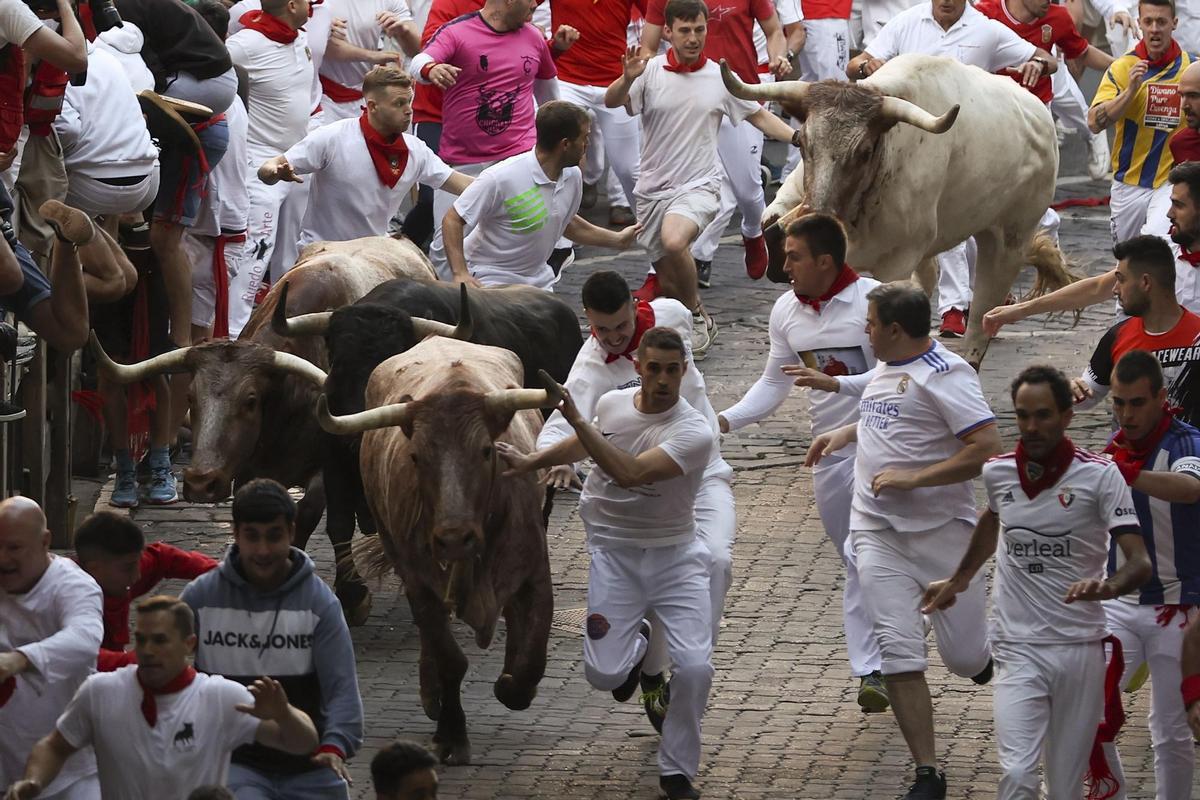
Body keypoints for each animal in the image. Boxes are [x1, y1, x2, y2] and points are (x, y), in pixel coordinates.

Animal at [319, 335, 561, 762]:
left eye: (486, 450)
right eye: (416, 455)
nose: (453, 537)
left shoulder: (535, 571)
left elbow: (532, 656)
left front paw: (512, 683)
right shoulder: (420, 582)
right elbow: (450, 658)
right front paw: (451, 732)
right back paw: (431, 695)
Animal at [734, 54, 1084, 367]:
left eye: (864, 152)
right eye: (800, 141)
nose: (815, 218)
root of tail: (1039, 115)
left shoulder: (896, 263)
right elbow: (770, 222)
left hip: (1008, 242)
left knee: (981, 319)